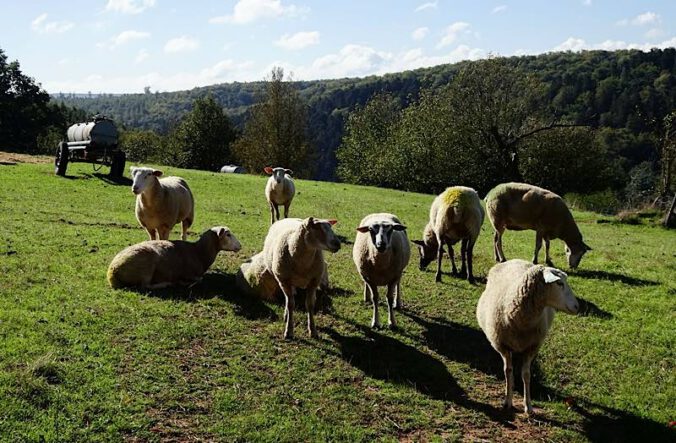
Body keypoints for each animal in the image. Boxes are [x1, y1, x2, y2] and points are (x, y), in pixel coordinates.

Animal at [105, 225, 240, 292]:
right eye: (228, 234)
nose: (240, 246)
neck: (198, 252)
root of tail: (112, 271)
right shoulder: (189, 274)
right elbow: (199, 279)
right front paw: (183, 283)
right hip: (146, 266)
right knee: (145, 286)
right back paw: (166, 284)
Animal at [476, 260, 580, 416]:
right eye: (559, 283)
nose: (578, 306)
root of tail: (514, 260)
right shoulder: (503, 346)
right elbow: (508, 371)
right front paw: (507, 401)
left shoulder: (532, 347)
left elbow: (526, 375)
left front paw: (528, 406)